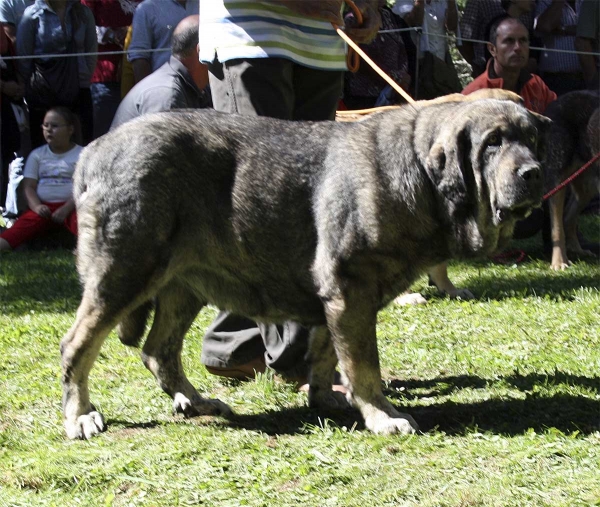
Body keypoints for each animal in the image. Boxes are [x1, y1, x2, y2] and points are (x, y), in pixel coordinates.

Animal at [61, 91, 548, 440]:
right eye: (493, 143)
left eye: (532, 141)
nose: (534, 173)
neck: (422, 175)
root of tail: (93, 151)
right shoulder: (350, 290)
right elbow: (364, 365)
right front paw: (382, 416)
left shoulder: (337, 298)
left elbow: (327, 353)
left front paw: (325, 397)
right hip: (124, 273)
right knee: (77, 346)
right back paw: (81, 416)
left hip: (183, 285)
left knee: (158, 350)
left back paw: (196, 402)